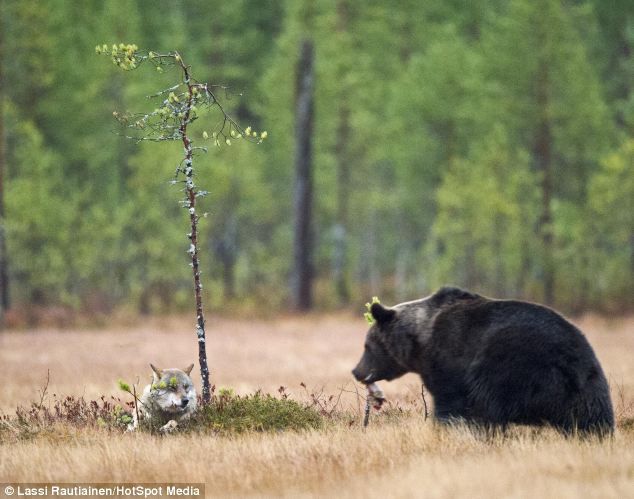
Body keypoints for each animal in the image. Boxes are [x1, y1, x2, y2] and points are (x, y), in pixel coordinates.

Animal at [350, 290, 612, 438]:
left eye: (367, 345)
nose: (357, 371)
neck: (420, 341)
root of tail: (569, 364)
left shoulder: (448, 360)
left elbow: (450, 403)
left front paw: (447, 429)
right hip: (589, 384)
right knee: (594, 419)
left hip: (510, 367)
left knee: (489, 403)